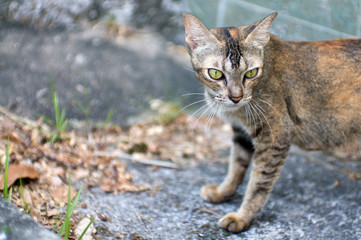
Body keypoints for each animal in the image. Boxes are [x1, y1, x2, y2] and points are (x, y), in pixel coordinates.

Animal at [183, 11, 360, 232]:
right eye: (215, 73)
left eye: (251, 73)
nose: (236, 97)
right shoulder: (241, 133)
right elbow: (236, 165)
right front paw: (223, 192)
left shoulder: (275, 135)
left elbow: (258, 184)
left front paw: (242, 217)